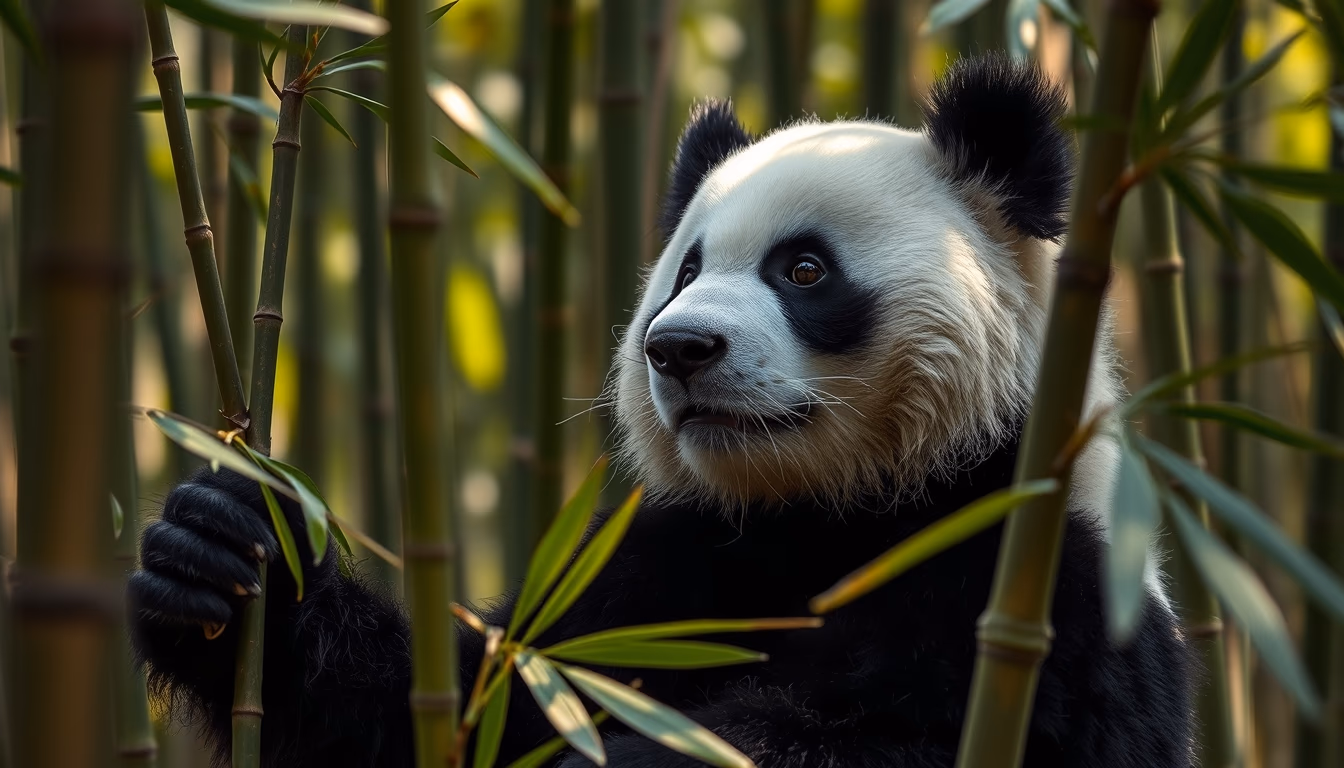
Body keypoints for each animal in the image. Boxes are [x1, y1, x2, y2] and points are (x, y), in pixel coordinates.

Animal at [129, 54, 1193, 767]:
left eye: (804, 269)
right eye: (685, 271)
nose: (678, 349)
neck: (831, 517)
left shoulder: (1042, 595)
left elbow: (858, 735)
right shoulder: (653, 567)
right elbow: (460, 705)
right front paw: (224, 551)